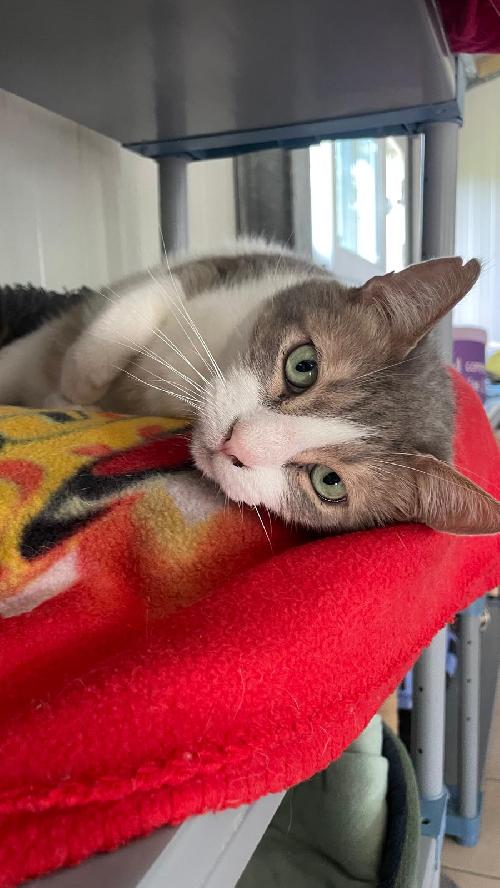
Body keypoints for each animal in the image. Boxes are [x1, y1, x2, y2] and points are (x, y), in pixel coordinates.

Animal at [0, 238, 499, 536]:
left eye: (328, 482)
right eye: (303, 365)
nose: (234, 443)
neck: (198, 377)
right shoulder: (225, 271)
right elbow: (146, 301)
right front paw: (77, 384)